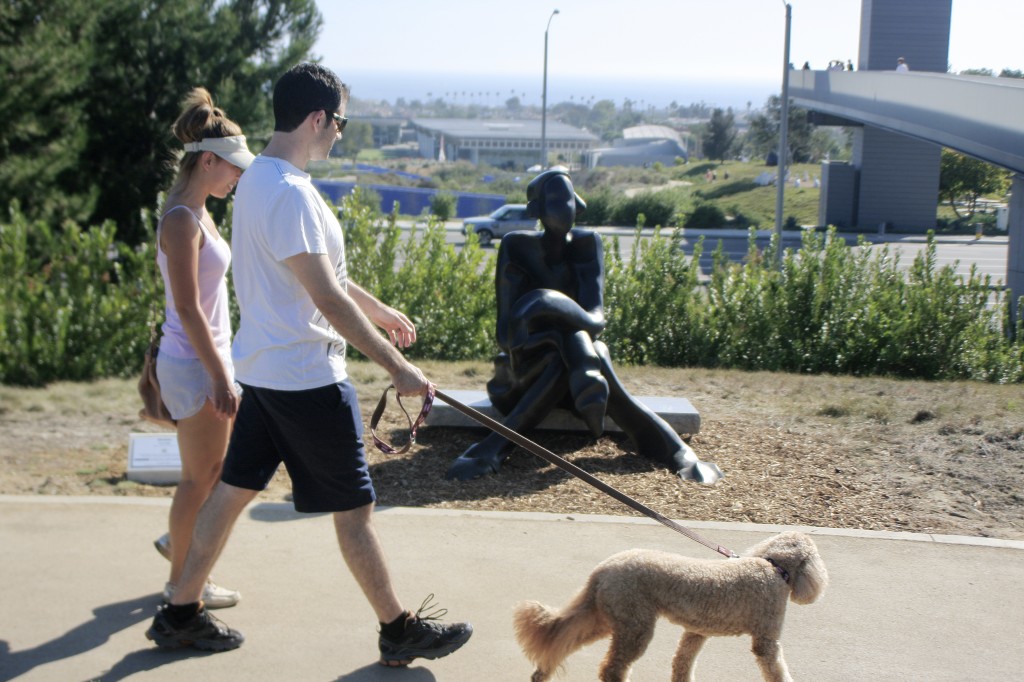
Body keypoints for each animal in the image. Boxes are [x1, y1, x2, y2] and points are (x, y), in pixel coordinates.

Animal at [516, 532, 827, 679]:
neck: (773, 567)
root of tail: (602, 570)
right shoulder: (766, 638)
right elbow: (775, 669)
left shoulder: (697, 632)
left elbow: (682, 661)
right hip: (635, 625)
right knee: (612, 669)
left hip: (607, 618)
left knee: (562, 639)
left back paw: (541, 673)